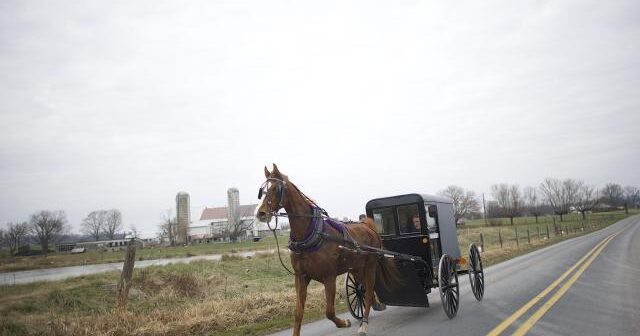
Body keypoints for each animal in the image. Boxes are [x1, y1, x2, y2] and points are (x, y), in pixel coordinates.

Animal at [256, 165, 400, 336]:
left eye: (275, 189)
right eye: (262, 191)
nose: (261, 213)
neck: (311, 234)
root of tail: (368, 227)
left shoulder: (329, 277)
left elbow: (329, 312)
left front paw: (344, 322)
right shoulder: (301, 277)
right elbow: (298, 313)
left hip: (370, 265)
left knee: (370, 290)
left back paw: (364, 324)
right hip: (356, 268)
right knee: (364, 289)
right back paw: (375, 306)